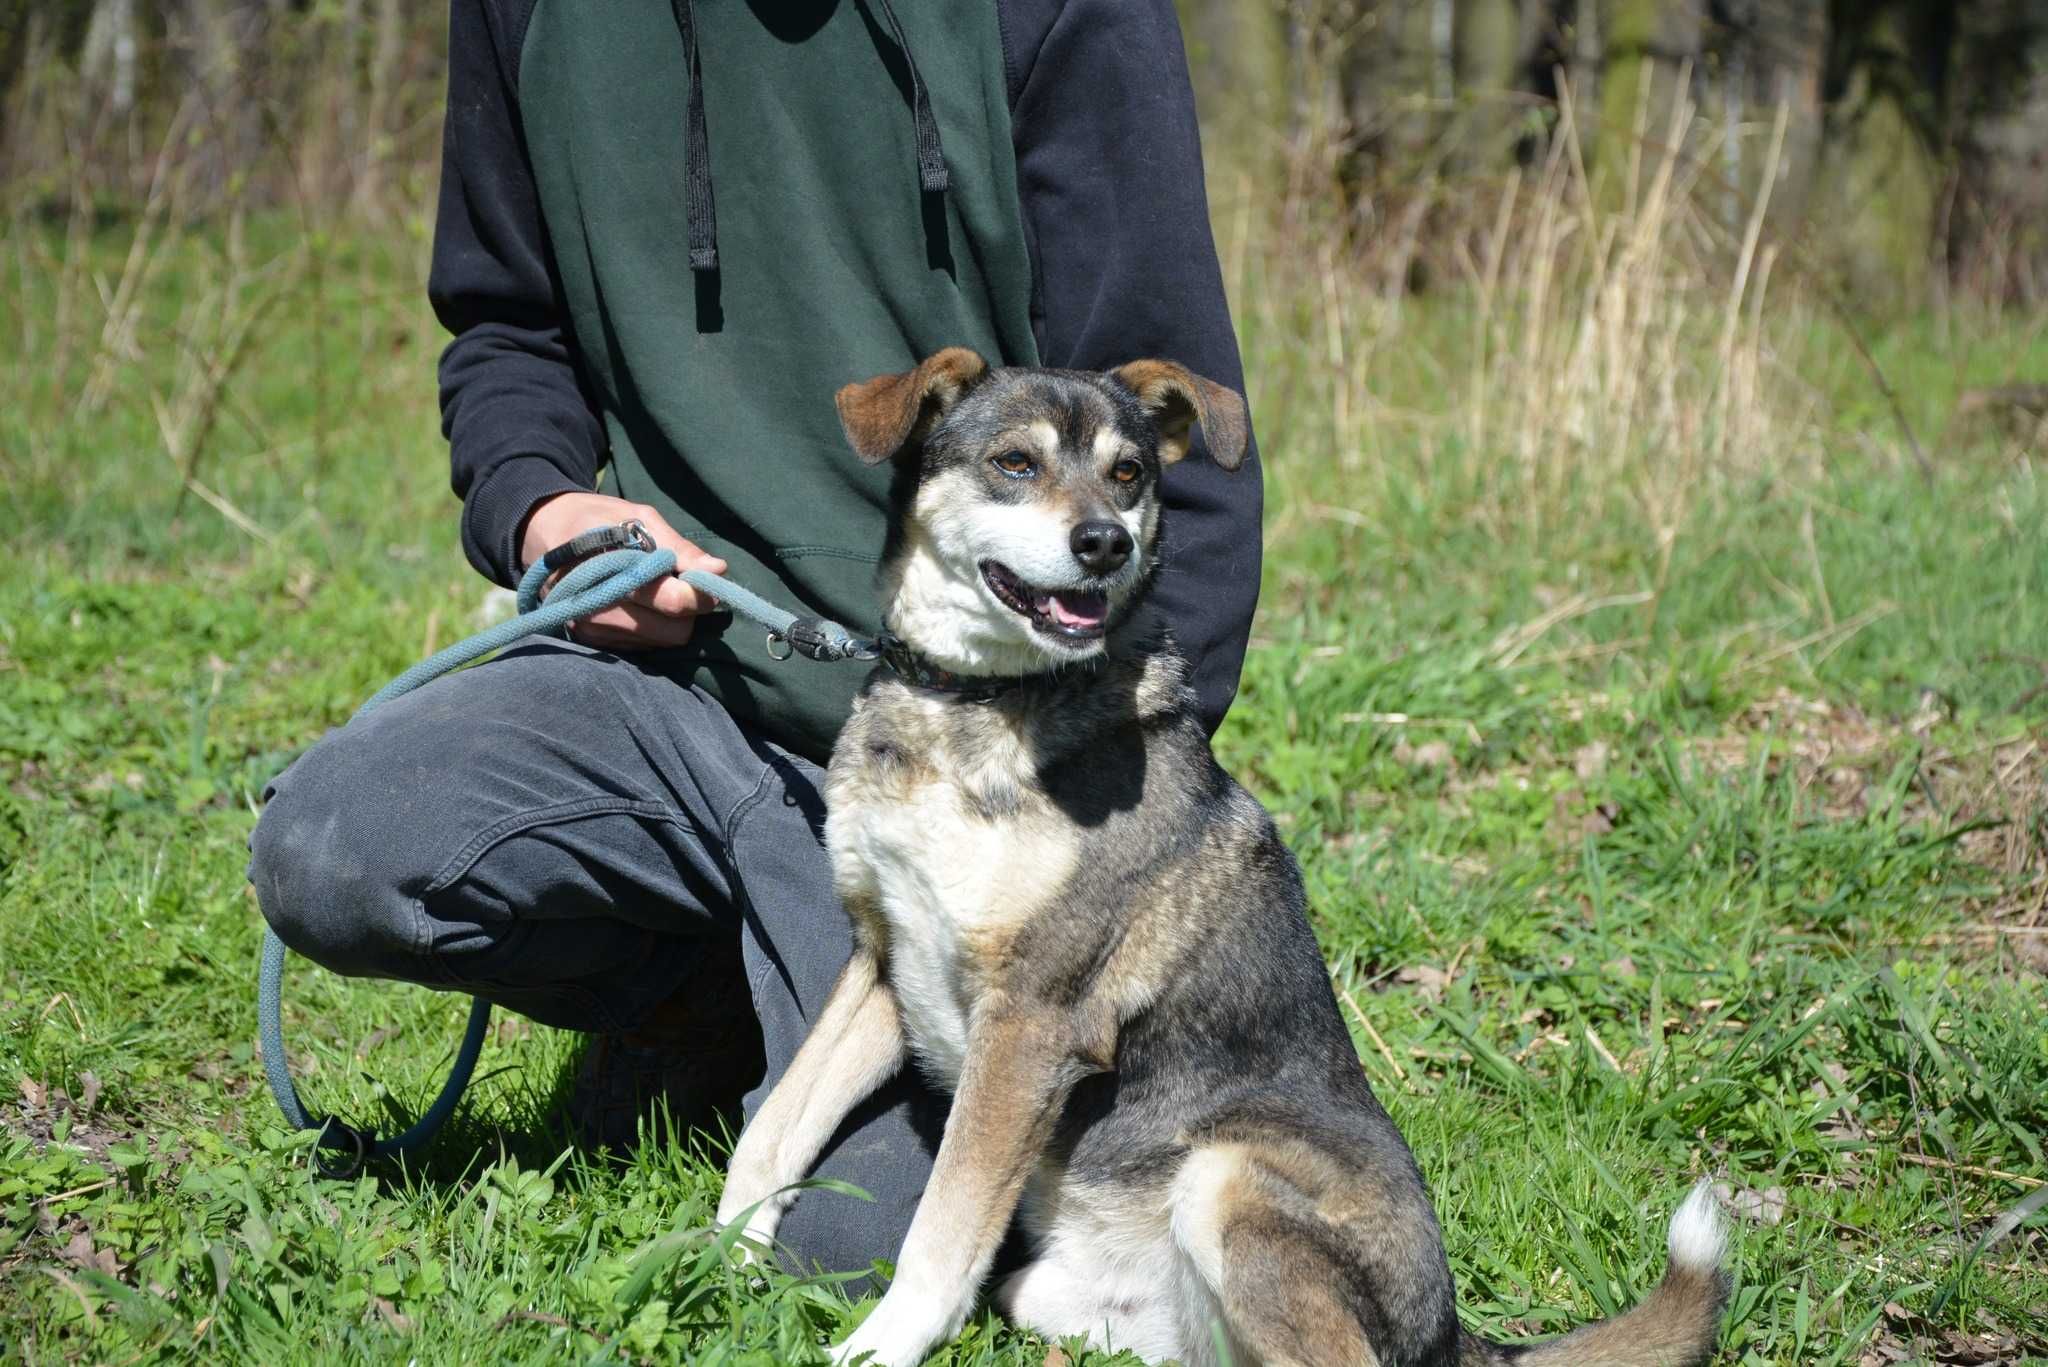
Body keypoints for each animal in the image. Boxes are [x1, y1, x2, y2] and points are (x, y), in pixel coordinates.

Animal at [720, 348, 1728, 1360]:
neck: (970, 703)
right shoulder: (886, 958)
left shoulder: (1033, 1015)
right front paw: (715, 1256)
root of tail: (1452, 1332)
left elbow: (940, 1225)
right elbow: (773, 1129)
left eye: (1128, 473)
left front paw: (874, 1345)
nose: (1103, 544)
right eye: (1014, 462)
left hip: (1227, 1182)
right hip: (1058, 1293)